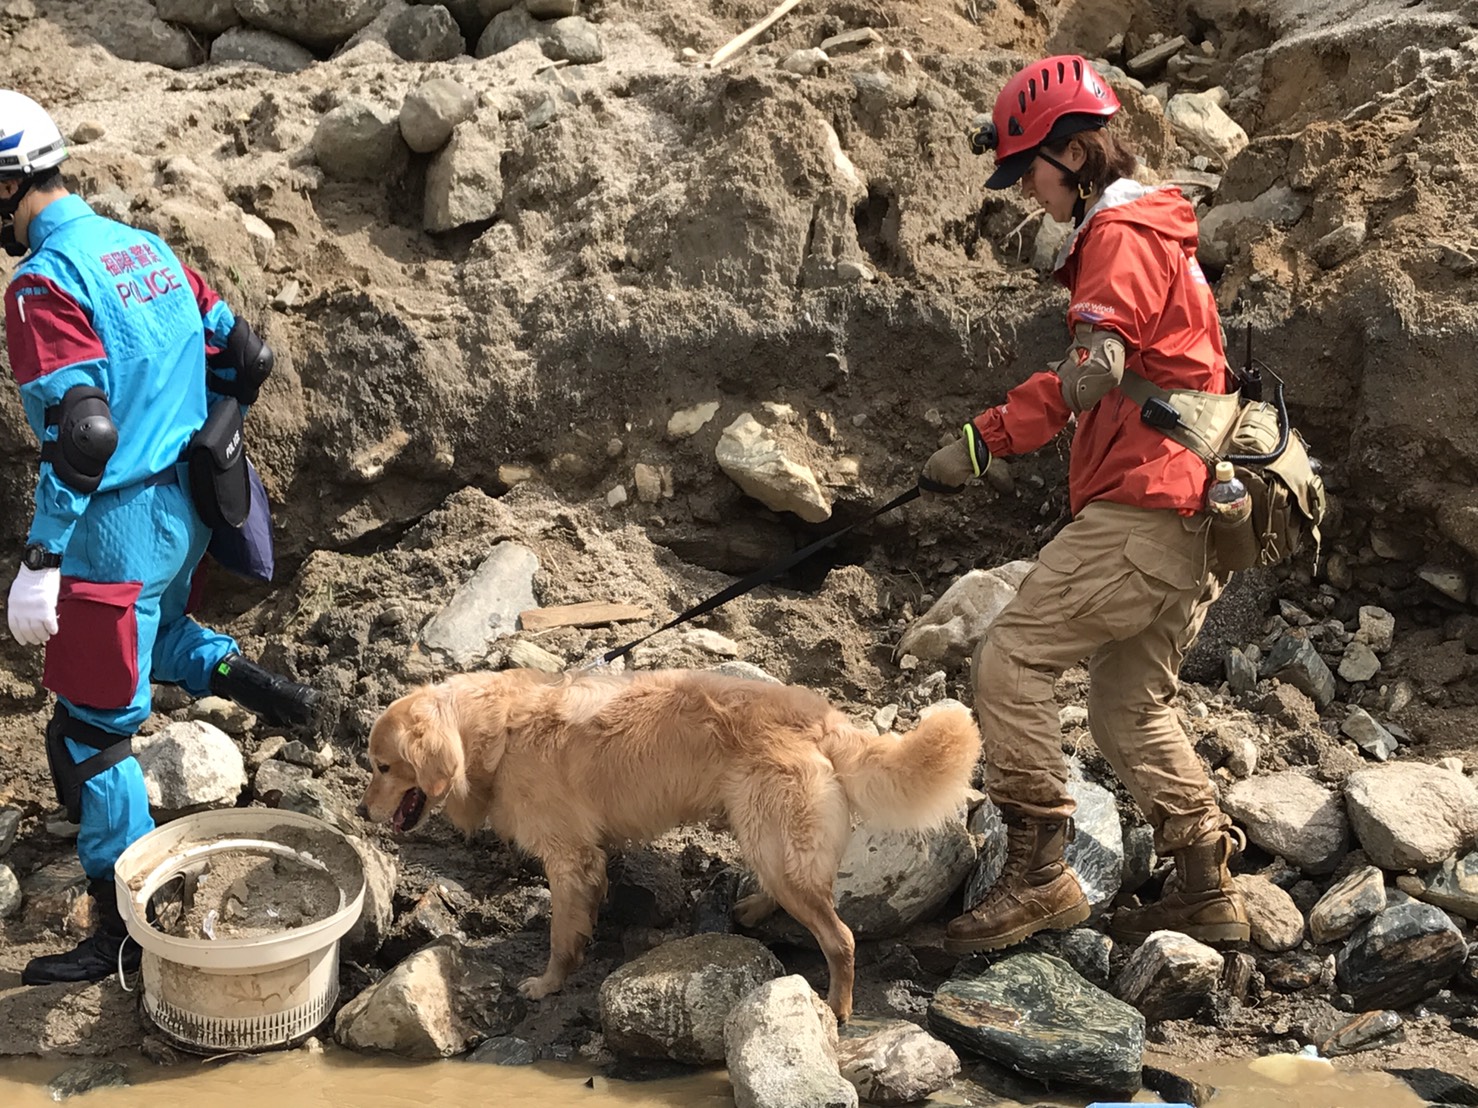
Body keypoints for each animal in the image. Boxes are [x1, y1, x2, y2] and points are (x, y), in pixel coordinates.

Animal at [354, 667, 981, 1022]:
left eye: (383, 766)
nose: (360, 811)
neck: (495, 730)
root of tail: (822, 715)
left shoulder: (570, 857)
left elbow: (560, 935)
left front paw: (548, 984)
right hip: (769, 838)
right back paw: (755, 908)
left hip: (774, 835)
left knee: (841, 938)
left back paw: (839, 1008)